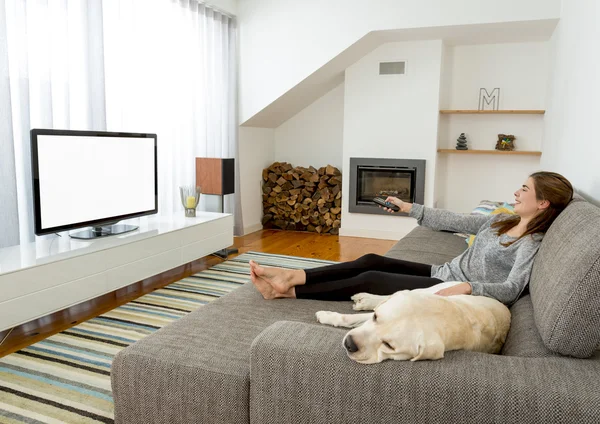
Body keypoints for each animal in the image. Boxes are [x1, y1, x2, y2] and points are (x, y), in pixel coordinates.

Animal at [314, 282, 510, 364]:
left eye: (389, 346)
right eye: (376, 317)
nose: (349, 344)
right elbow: (353, 318)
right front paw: (328, 316)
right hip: (429, 289)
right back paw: (367, 299)